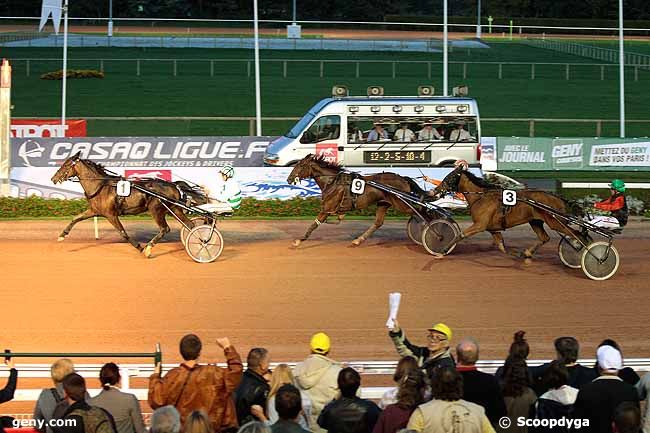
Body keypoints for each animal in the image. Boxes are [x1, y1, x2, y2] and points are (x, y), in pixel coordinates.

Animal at [51, 152, 205, 256]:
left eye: (65, 165)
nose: (53, 178)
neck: (101, 185)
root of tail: (174, 185)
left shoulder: (111, 215)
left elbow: (123, 233)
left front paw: (140, 247)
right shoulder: (94, 211)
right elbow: (75, 218)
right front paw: (62, 235)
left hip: (156, 209)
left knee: (164, 229)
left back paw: (149, 248)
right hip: (174, 208)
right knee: (190, 225)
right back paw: (198, 241)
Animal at [286, 154, 428, 246]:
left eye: (301, 165)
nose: (289, 179)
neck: (332, 181)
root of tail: (403, 178)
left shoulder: (326, 209)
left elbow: (313, 225)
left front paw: (299, 240)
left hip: (401, 204)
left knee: (421, 211)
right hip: (384, 203)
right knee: (378, 222)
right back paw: (358, 240)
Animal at [430, 163, 584, 260]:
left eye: (450, 177)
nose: (435, 190)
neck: (481, 196)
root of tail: (558, 198)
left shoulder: (480, 225)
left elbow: (460, 235)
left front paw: (442, 251)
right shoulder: (492, 229)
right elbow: (501, 246)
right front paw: (517, 254)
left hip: (555, 222)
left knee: (576, 234)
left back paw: (581, 249)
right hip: (535, 221)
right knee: (545, 238)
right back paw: (528, 252)